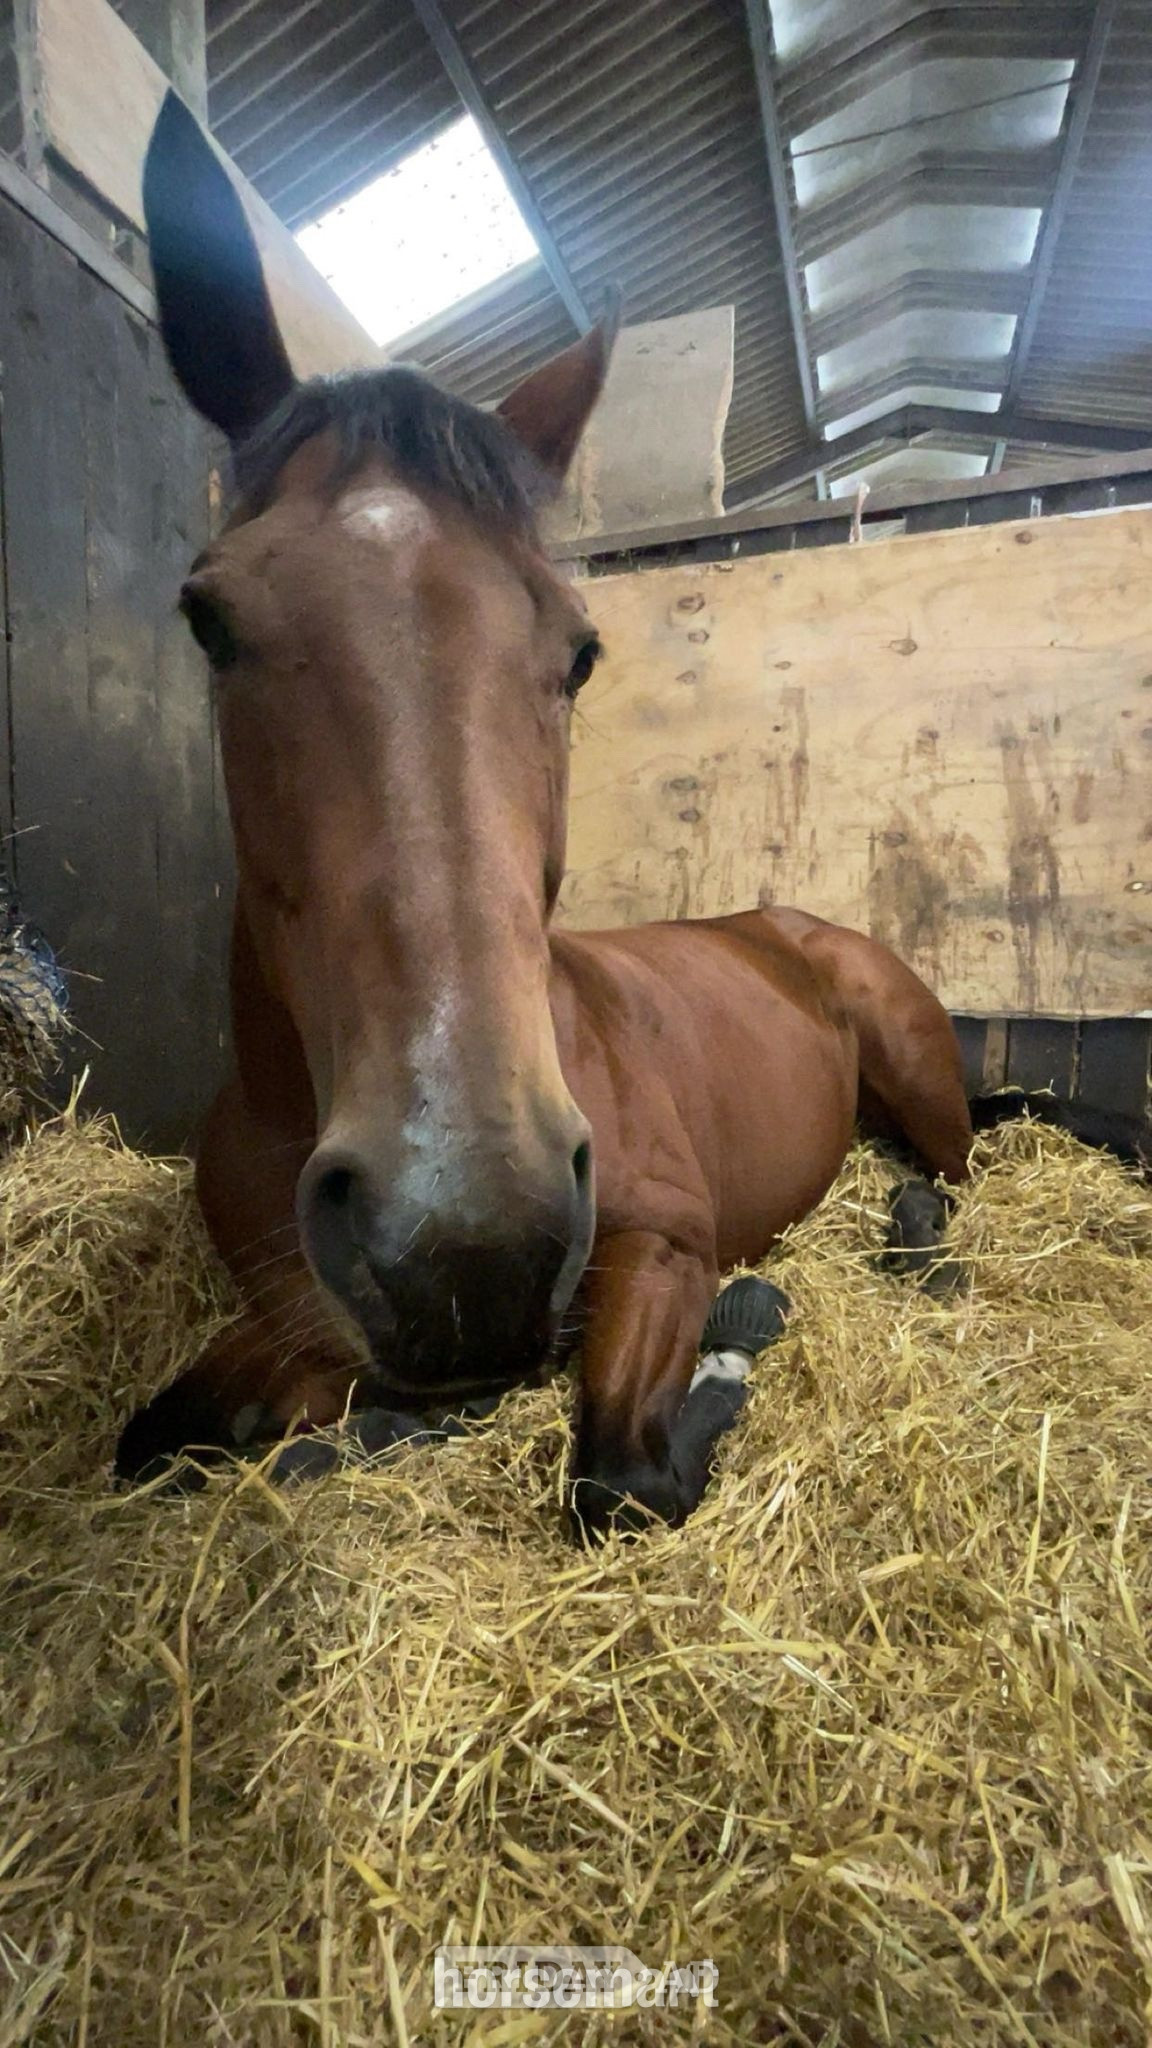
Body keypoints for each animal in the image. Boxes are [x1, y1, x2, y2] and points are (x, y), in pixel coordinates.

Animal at [116, 94, 1146, 1534]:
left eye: (580, 651)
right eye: (210, 619)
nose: (467, 1242)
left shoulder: (660, 1235)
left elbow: (625, 1473)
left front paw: (730, 1343)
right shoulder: (293, 1317)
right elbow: (160, 1432)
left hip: (914, 1077)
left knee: (952, 1177)